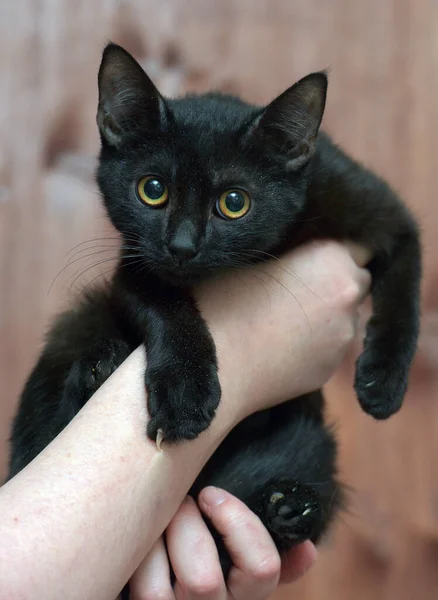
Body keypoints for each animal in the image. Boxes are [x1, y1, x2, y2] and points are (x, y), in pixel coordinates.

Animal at [5, 42, 420, 592]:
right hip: (78, 321)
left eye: (234, 202)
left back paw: (291, 508)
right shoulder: (134, 265)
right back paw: (99, 369)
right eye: (152, 189)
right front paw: (186, 391)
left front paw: (383, 380)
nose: (182, 246)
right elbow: (166, 307)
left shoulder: (372, 206)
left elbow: (405, 291)